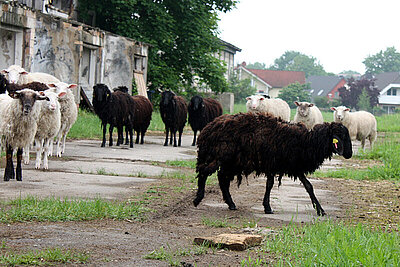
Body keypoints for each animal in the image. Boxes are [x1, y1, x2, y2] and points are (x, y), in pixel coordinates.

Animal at [194, 112, 354, 217]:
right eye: (343, 136)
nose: (349, 154)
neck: (306, 142)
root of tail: (209, 128)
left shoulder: (294, 166)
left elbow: (309, 186)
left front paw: (320, 209)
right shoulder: (272, 163)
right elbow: (270, 185)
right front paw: (268, 207)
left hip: (231, 161)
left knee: (221, 177)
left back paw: (231, 204)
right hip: (220, 156)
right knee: (204, 172)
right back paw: (198, 199)